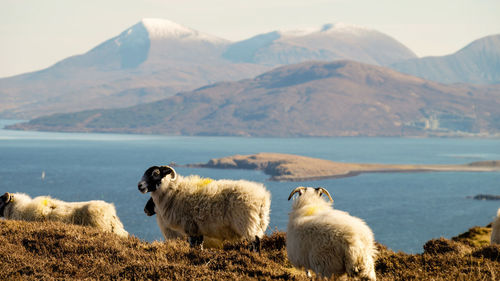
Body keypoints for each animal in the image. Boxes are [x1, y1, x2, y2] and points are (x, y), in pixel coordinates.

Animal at [137, 164, 272, 249]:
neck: (174, 192)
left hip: (246, 222)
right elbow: (199, 246)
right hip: (257, 222)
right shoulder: (198, 229)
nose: (139, 186)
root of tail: (262, 198)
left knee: (255, 242)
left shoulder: (190, 227)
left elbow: (193, 246)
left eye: (155, 173)